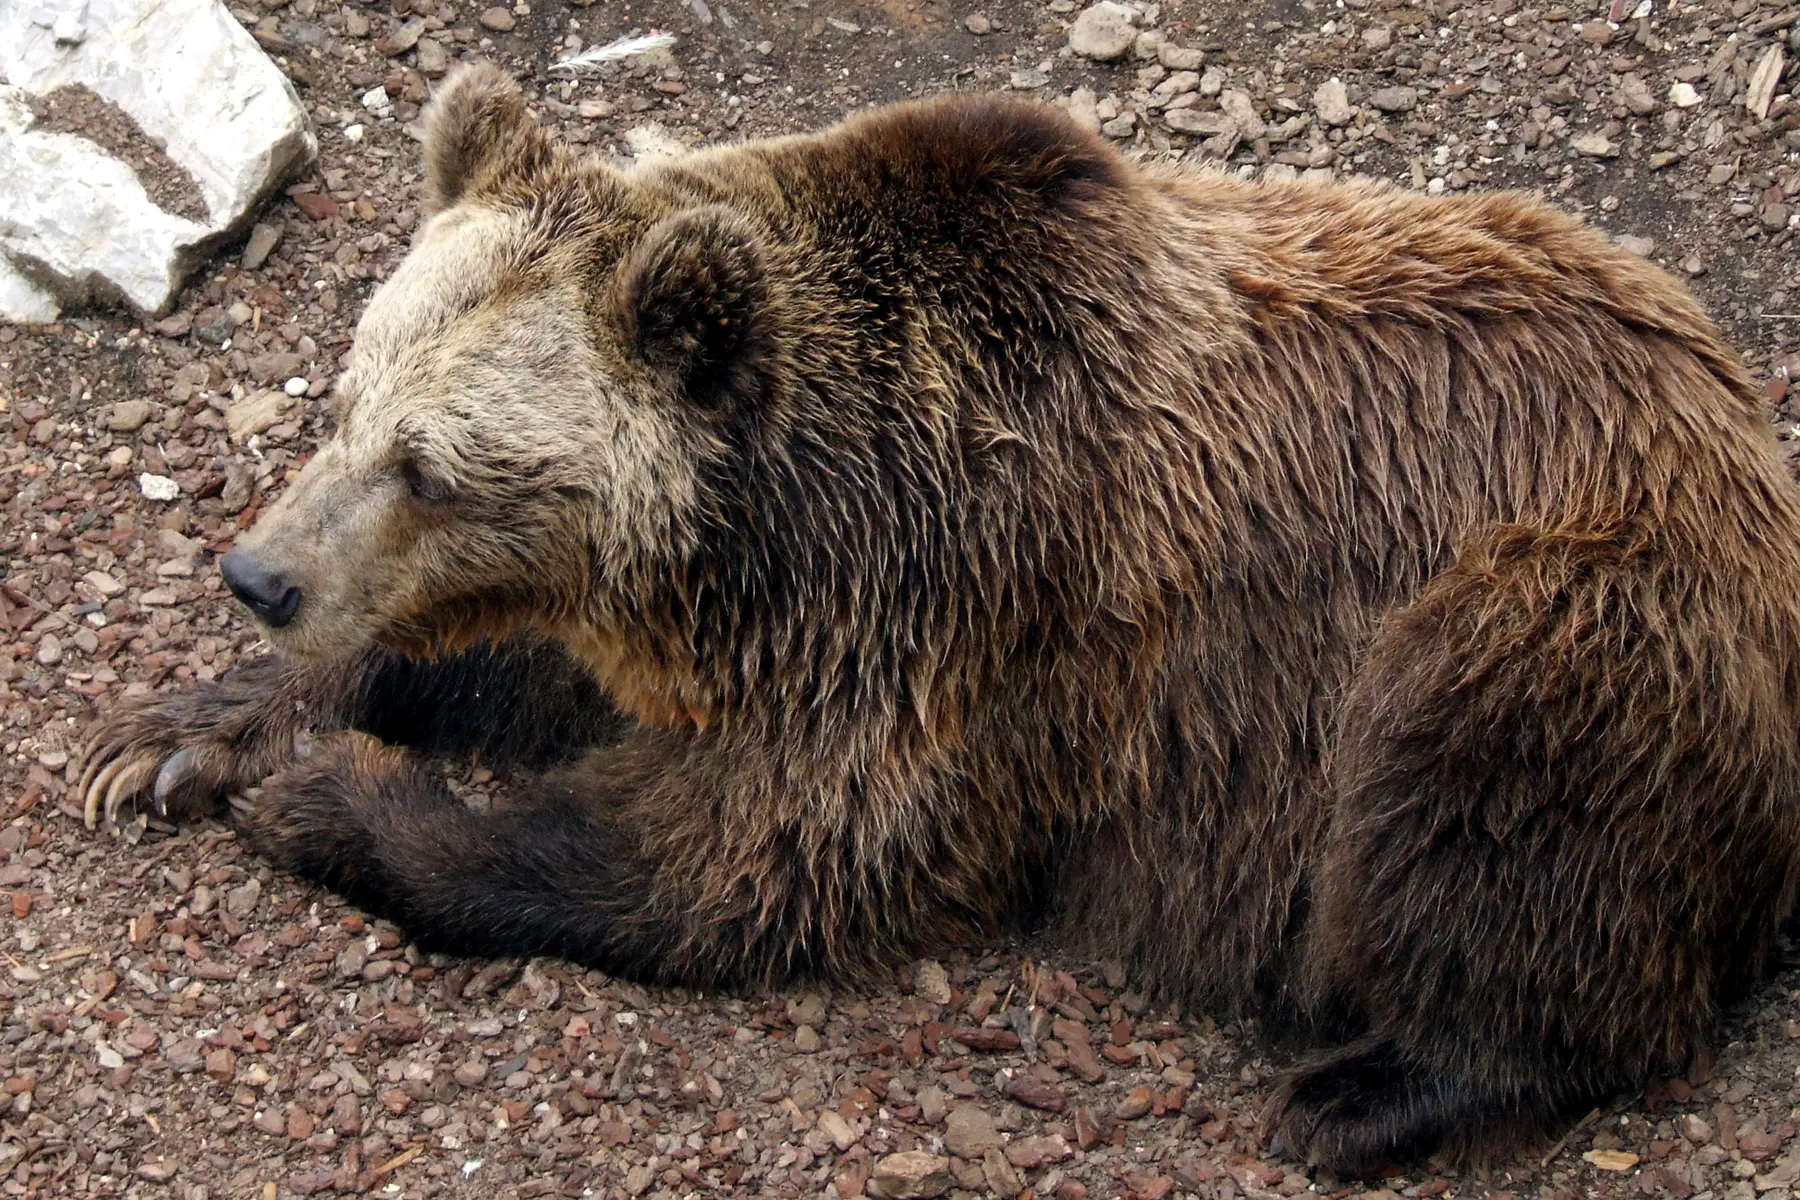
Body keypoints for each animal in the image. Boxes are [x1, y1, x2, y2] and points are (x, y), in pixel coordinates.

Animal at [81, 63, 1800, 1173]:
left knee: (1498, 806)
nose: (258, 574)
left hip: (1562, 595)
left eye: (435, 466)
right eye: (350, 402)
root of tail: (1740, 426)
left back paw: (1360, 1093)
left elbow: (733, 859)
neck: (792, 511)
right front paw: (176, 732)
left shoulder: (961, 614)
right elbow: (541, 676)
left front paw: (336, 800)